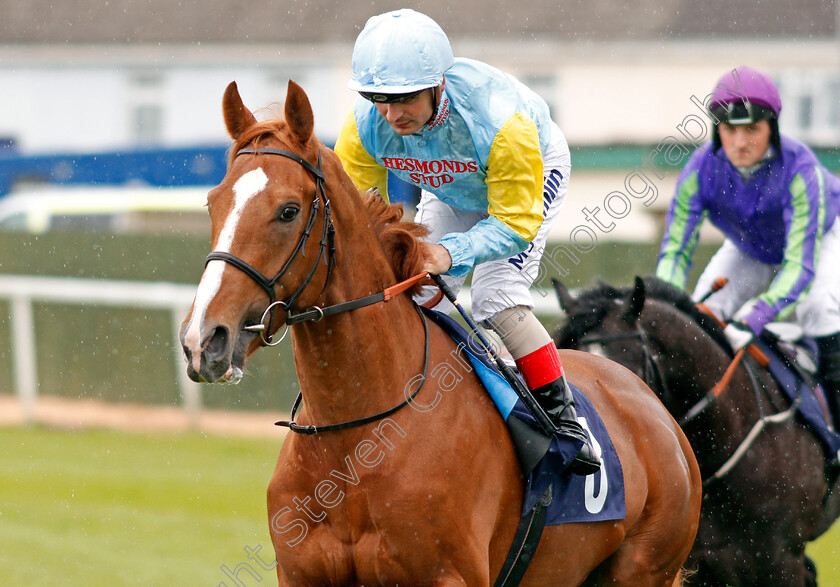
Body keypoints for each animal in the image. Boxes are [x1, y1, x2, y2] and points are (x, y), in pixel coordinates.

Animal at [179, 80, 704, 584]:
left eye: (288, 211)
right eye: (212, 202)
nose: (204, 339)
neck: (356, 441)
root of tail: (654, 407)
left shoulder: (447, 575)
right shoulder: (299, 575)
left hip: (645, 568)